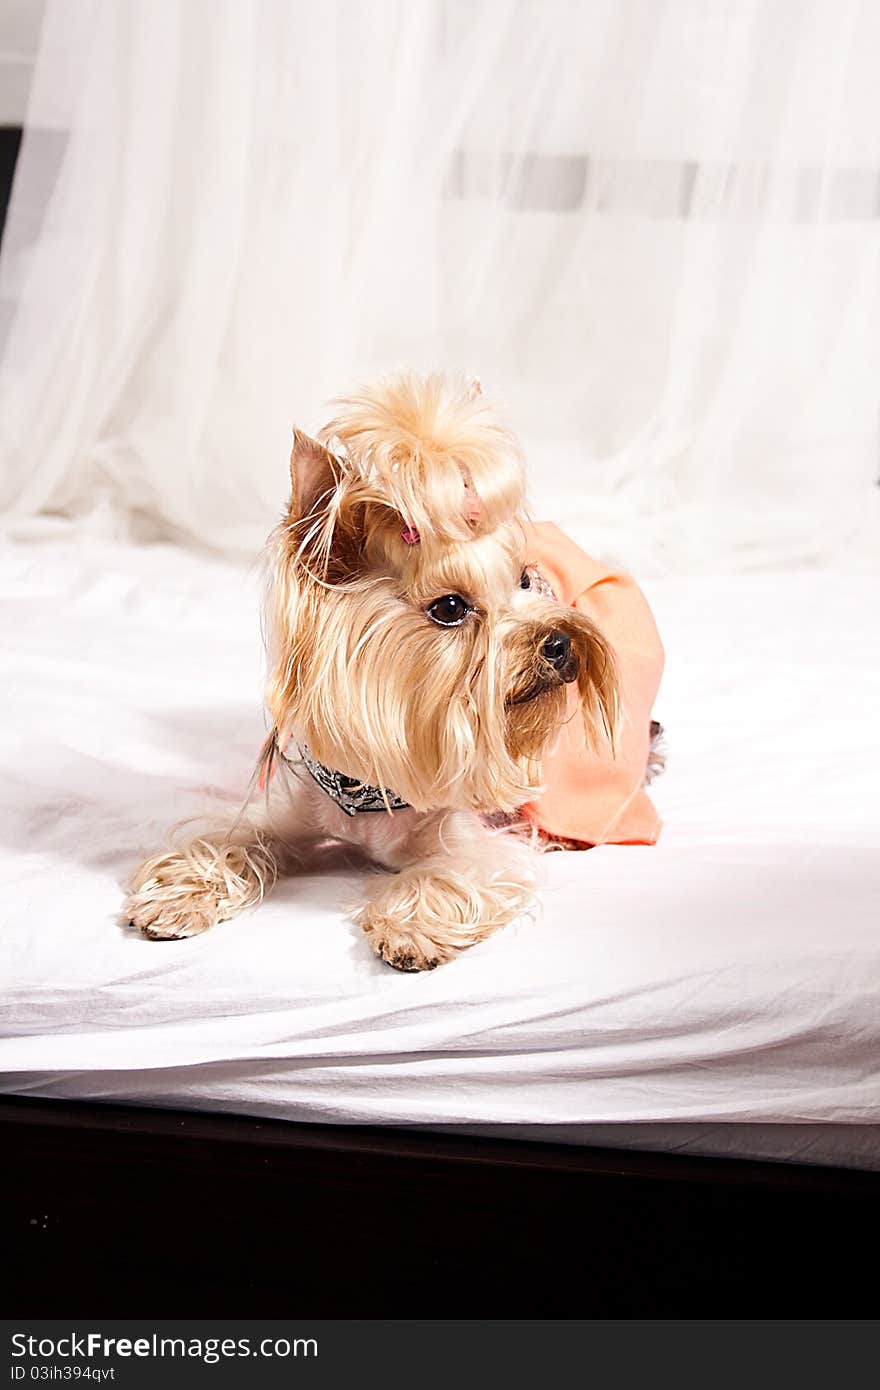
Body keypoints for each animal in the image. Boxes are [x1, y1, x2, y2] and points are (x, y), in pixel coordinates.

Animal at [123, 375, 617, 973]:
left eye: (526, 579)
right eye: (449, 608)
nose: (560, 643)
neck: (370, 788)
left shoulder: (477, 842)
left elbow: (458, 871)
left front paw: (412, 930)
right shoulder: (286, 807)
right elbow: (236, 837)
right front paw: (179, 894)